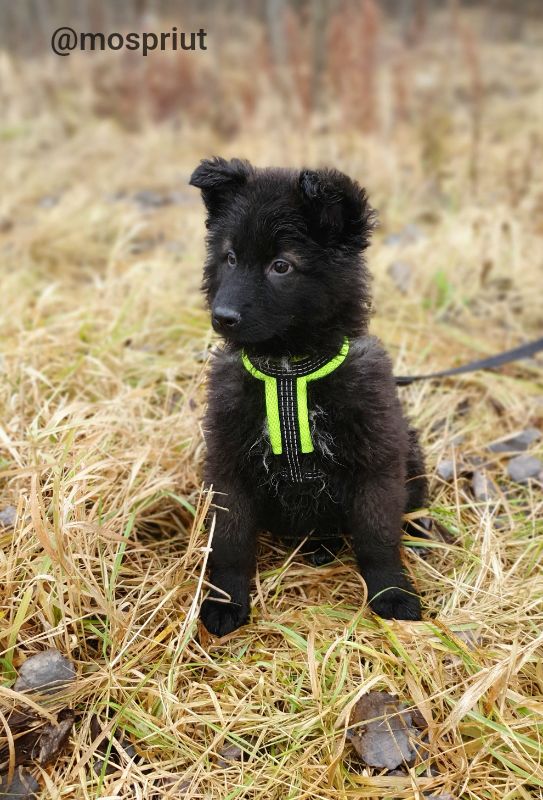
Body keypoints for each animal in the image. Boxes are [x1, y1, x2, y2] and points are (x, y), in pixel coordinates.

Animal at [189, 158, 428, 636]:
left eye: (281, 266)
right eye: (230, 257)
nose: (222, 317)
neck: (287, 369)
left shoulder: (376, 461)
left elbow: (378, 537)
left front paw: (393, 593)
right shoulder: (228, 464)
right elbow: (229, 542)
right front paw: (225, 602)